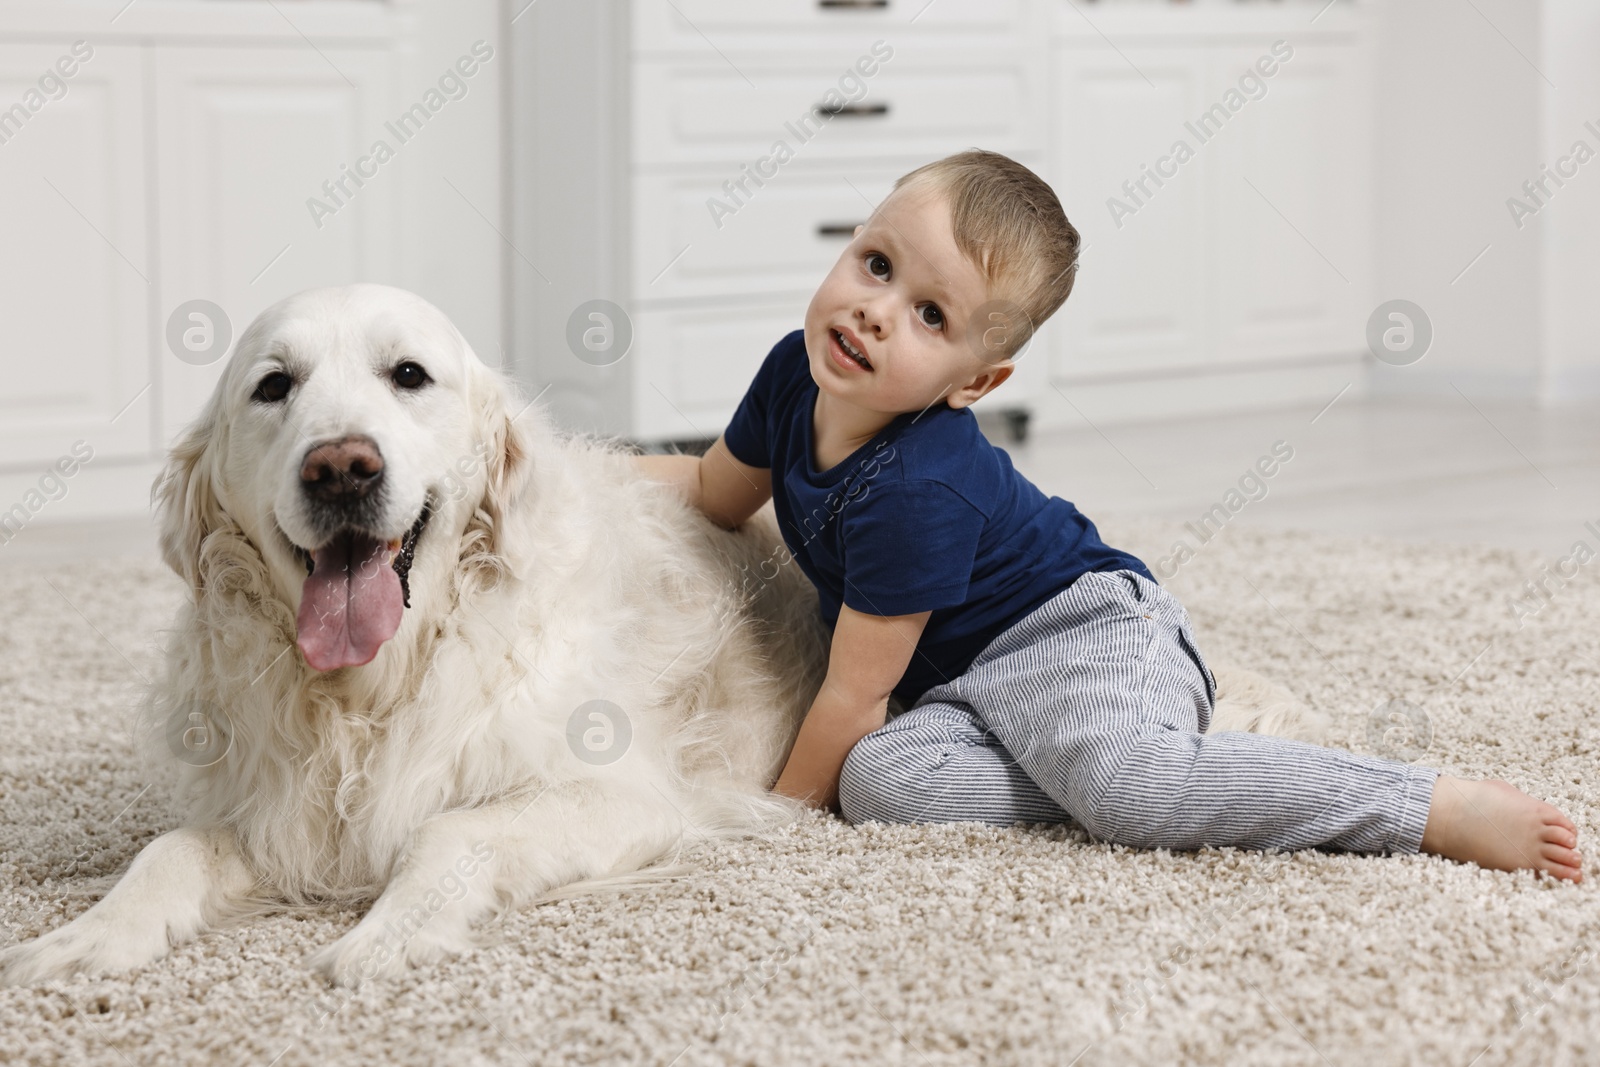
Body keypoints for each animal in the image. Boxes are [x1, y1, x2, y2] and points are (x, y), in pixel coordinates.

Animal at [0, 281, 1312, 985]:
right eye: (273, 388)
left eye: (408, 375)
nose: (342, 468)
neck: (373, 689)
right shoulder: (268, 803)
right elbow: (169, 849)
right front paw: (87, 934)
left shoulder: (617, 793)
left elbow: (453, 833)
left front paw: (390, 933)